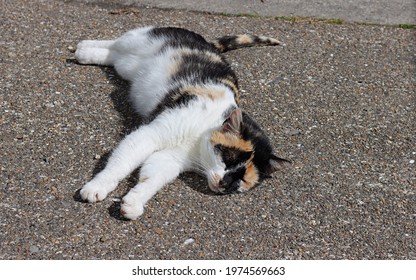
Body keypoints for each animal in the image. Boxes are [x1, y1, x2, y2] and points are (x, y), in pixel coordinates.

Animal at [75, 26, 290, 220]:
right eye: (228, 158)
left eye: (242, 179)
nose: (224, 183)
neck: (197, 141)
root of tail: (206, 42)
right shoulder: (149, 135)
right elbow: (121, 165)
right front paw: (97, 186)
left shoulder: (169, 159)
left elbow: (152, 179)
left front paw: (134, 202)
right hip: (139, 39)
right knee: (114, 42)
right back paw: (83, 48)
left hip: (126, 66)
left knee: (112, 56)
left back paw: (88, 53)